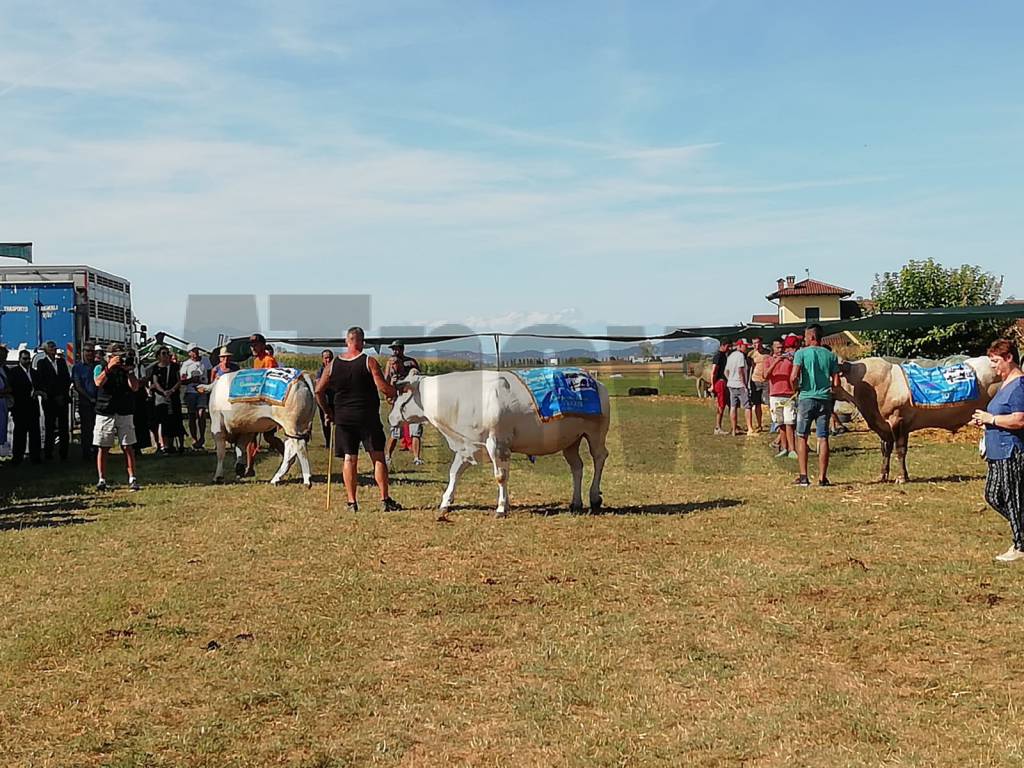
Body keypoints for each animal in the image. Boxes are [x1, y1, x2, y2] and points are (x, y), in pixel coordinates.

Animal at [385, 370, 606, 518]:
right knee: (577, 467)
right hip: (571, 440)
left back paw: (595, 497)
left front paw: (501, 508)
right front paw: (446, 502)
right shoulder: (468, 445)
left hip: (595, 434)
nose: (390, 418)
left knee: (599, 458)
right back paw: (576, 502)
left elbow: (500, 476)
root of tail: (595, 380)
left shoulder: (497, 444)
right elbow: (454, 472)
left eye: (401, 393)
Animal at [835, 358, 995, 483]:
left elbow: (900, 450)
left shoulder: (897, 419)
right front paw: (882, 476)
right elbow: (886, 450)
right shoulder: (886, 426)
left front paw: (901, 477)